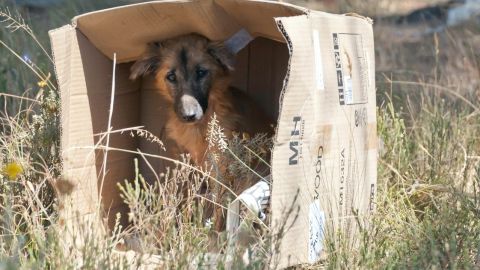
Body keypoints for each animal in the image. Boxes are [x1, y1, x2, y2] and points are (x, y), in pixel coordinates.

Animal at [129, 33, 272, 231]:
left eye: (201, 72)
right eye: (171, 76)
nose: (189, 116)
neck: (198, 128)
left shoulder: (220, 169)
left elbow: (219, 209)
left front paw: (214, 234)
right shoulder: (183, 164)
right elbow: (183, 198)